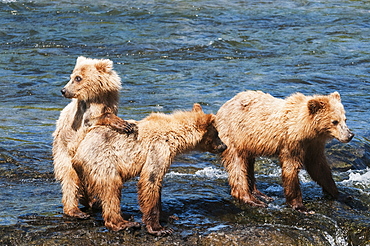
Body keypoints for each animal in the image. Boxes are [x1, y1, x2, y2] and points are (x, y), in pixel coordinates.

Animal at [52, 57, 136, 219]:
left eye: (78, 78)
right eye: (72, 76)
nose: (63, 90)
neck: (98, 96)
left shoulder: (110, 102)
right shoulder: (83, 114)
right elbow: (94, 120)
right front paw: (124, 124)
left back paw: (92, 201)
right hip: (64, 152)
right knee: (70, 179)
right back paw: (75, 210)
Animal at [69, 103, 225, 235]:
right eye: (217, 133)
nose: (224, 146)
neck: (176, 135)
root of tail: (78, 153)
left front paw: (168, 215)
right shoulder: (159, 148)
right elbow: (151, 180)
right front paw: (159, 228)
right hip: (101, 160)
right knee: (111, 188)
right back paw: (123, 223)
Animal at [215, 90, 354, 211]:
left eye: (345, 119)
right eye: (334, 121)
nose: (350, 135)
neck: (307, 130)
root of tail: (223, 107)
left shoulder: (314, 145)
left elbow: (319, 168)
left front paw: (341, 194)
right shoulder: (291, 143)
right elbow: (291, 169)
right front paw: (300, 206)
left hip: (248, 142)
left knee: (248, 163)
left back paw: (260, 193)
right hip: (234, 135)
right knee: (238, 166)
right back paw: (252, 199)